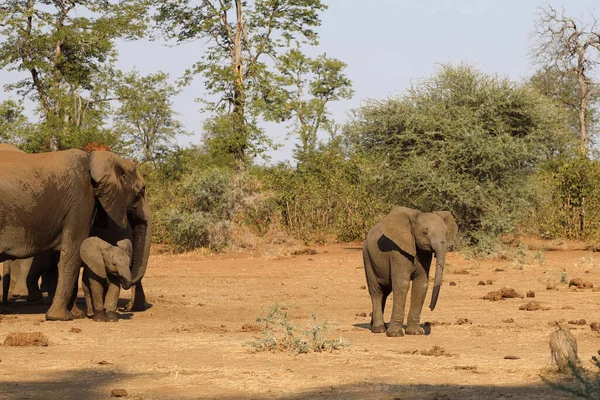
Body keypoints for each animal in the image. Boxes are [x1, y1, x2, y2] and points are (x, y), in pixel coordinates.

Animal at [0, 145, 152, 320]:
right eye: (142, 190)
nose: (125, 309)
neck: (97, 159)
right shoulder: (82, 199)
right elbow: (73, 250)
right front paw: (60, 317)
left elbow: (68, 253)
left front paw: (74, 315)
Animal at [364, 206, 458, 338]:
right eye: (425, 232)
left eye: (446, 233)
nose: (430, 307)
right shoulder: (397, 251)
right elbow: (402, 284)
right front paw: (395, 335)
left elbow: (421, 284)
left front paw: (415, 332)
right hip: (367, 257)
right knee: (376, 291)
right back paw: (379, 329)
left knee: (385, 292)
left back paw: (378, 326)